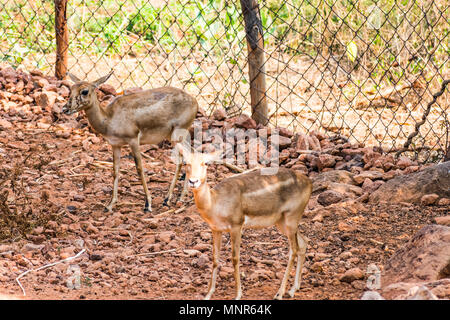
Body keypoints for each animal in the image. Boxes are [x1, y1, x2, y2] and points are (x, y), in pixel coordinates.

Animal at [62, 72, 198, 212]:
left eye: (85, 91)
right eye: (71, 88)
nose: (65, 109)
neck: (109, 119)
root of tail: (194, 100)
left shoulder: (133, 141)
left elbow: (139, 168)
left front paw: (148, 204)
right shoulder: (115, 145)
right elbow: (115, 170)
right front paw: (110, 205)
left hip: (178, 135)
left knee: (189, 156)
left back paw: (178, 198)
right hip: (173, 137)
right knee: (185, 157)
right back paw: (169, 199)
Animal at [178, 145, 310, 300]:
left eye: (205, 163)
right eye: (186, 163)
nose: (193, 181)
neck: (215, 203)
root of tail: (309, 183)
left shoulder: (237, 224)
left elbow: (235, 258)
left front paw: (238, 295)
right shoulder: (215, 229)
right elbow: (215, 258)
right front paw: (208, 294)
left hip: (292, 217)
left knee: (293, 249)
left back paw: (280, 293)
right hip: (282, 221)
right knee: (303, 243)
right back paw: (293, 289)